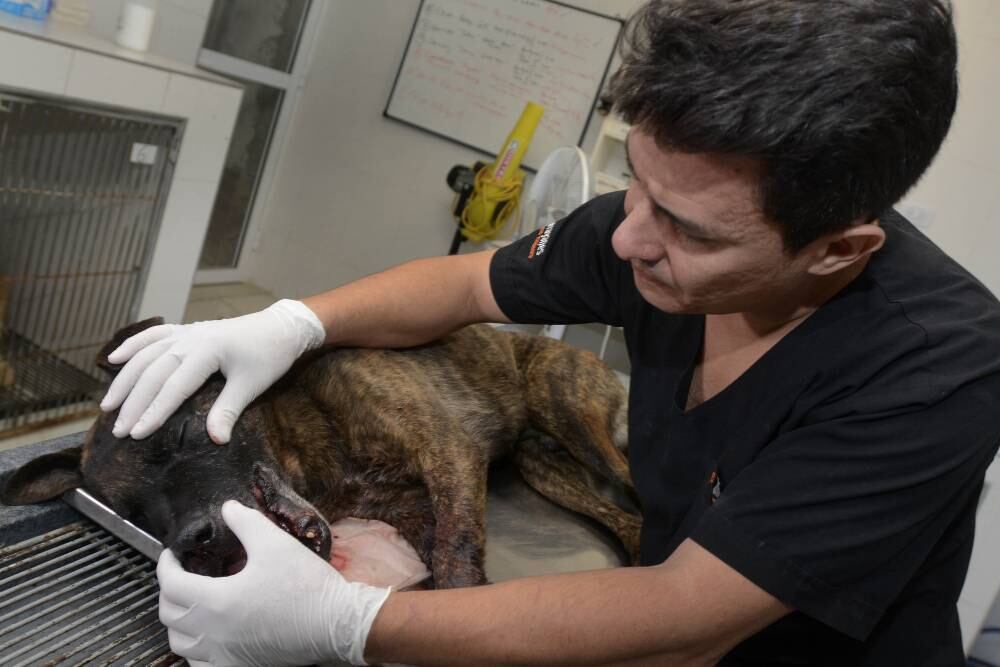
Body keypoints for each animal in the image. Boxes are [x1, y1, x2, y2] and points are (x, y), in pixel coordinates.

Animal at [0, 320, 640, 588]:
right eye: (132, 513)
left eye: (180, 433)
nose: (193, 542)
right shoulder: (413, 511)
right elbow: (440, 553)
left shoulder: (448, 450)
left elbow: (456, 553)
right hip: (543, 468)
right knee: (623, 517)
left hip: (569, 408)